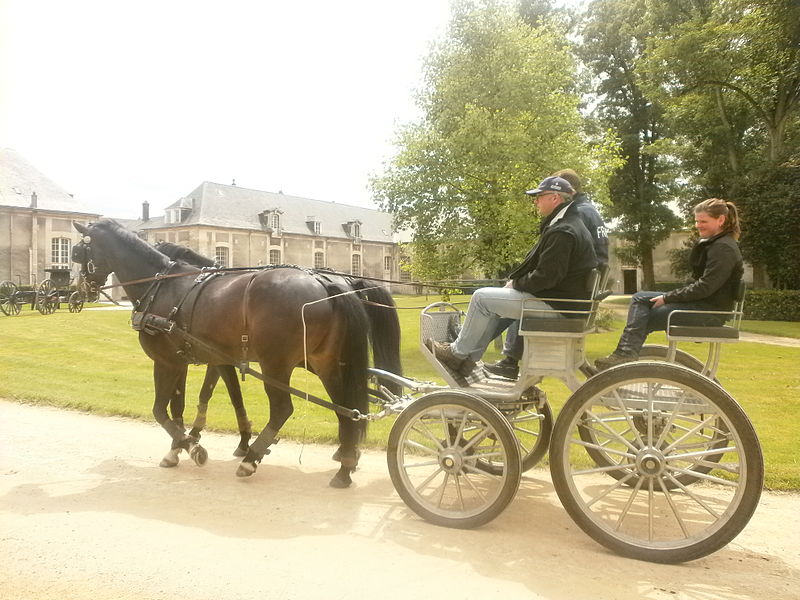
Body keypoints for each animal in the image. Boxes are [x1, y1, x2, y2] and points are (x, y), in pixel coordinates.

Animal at [73, 220, 400, 488]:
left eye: (77, 252)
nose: (76, 293)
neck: (163, 287)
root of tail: (326, 282)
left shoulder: (168, 361)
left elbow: (162, 410)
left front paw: (194, 446)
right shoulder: (196, 360)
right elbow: (191, 405)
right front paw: (182, 446)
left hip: (276, 365)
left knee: (284, 409)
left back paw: (252, 459)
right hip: (326, 363)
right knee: (346, 407)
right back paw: (345, 465)